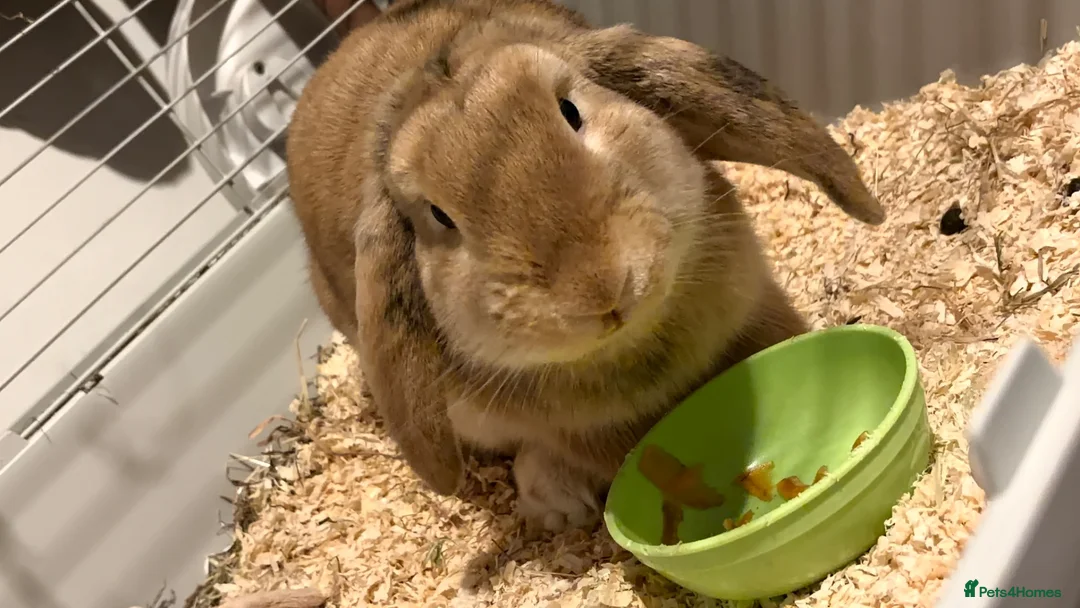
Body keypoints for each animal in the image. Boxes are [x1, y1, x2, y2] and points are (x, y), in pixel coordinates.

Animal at [285, 0, 884, 532]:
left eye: (571, 112)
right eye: (438, 215)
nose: (600, 290)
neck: (638, 343)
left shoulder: (754, 306)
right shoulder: (588, 431)